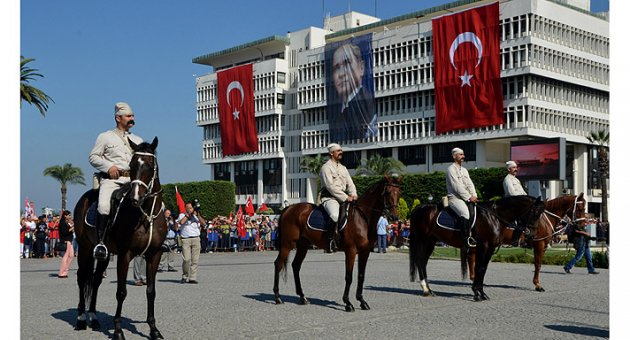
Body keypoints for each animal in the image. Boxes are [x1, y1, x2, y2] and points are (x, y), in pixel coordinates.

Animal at [73, 137, 168, 340]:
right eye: (132, 165)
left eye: (150, 165)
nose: (135, 197)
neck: (146, 214)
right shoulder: (125, 255)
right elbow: (121, 292)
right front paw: (117, 331)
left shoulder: (154, 255)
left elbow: (151, 291)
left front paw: (153, 329)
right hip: (84, 249)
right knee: (82, 278)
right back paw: (81, 319)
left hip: (105, 254)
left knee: (95, 280)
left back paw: (94, 318)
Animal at [272, 177, 402, 312]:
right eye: (387, 192)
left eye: (399, 193)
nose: (394, 217)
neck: (362, 218)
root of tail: (289, 208)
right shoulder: (351, 251)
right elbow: (349, 277)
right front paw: (348, 303)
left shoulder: (365, 252)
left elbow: (361, 276)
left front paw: (362, 301)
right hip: (287, 244)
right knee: (278, 264)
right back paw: (277, 297)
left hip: (303, 246)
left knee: (296, 266)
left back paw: (302, 297)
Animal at [410, 195, 548, 302]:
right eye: (535, 213)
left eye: (541, 214)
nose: (532, 235)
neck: (494, 217)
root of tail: (419, 208)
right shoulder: (483, 245)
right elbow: (478, 267)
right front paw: (476, 293)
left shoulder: (491, 247)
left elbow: (483, 268)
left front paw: (481, 293)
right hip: (422, 241)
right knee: (420, 261)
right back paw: (426, 289)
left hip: (431, 242)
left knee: (423, 262)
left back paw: (429, 290)